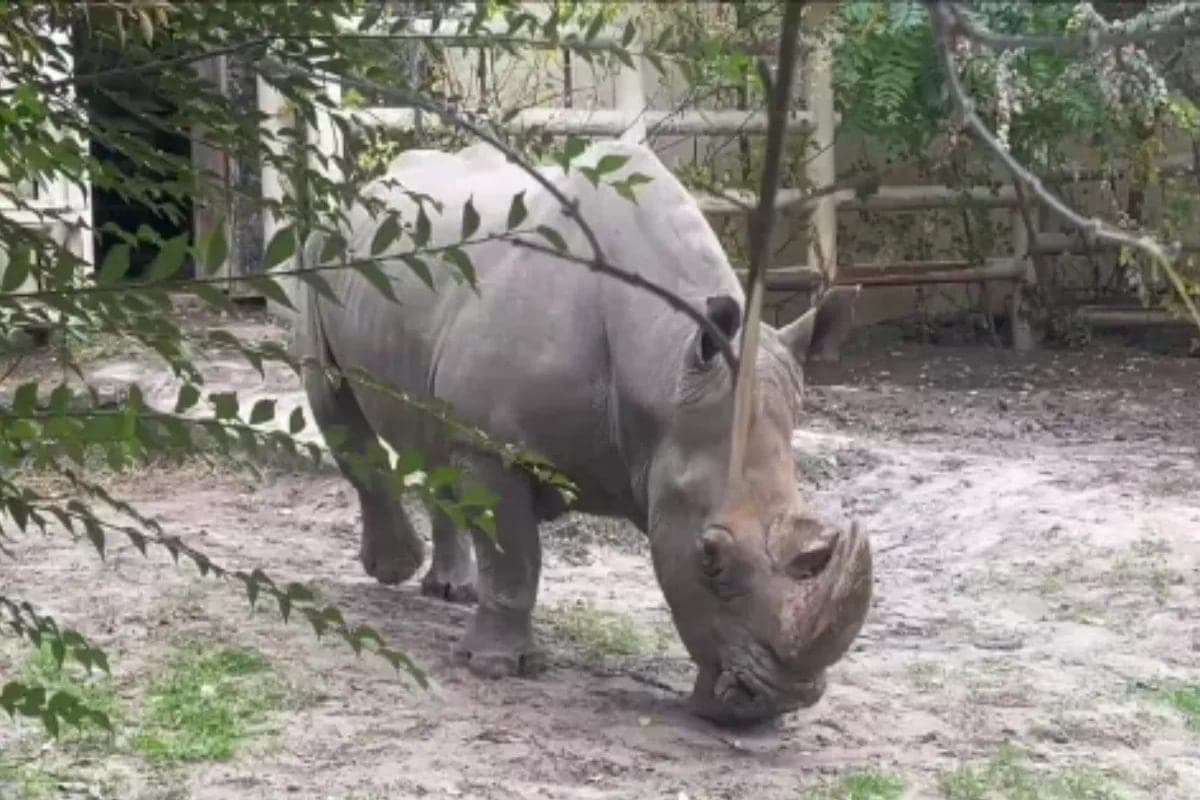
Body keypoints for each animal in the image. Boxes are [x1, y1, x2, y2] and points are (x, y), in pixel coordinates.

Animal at [291, 139, 873, 726]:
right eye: (710, 558)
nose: (783, 699)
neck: (663, 369)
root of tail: (363, 188)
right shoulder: (490, 442)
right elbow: (514, 558)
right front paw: (497, 667)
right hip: (319, 257)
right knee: (333, 398)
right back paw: (394, 571)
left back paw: (451, 590)